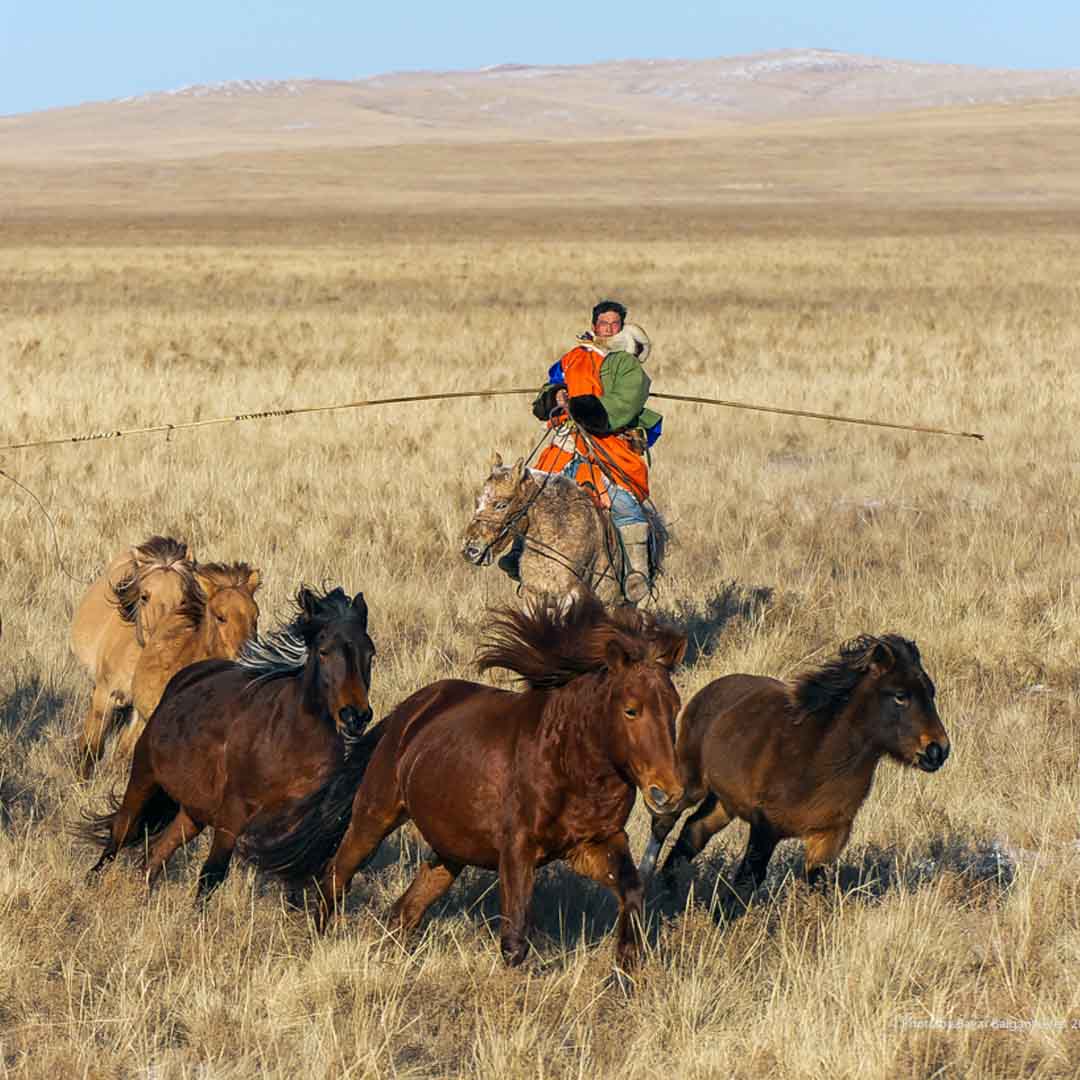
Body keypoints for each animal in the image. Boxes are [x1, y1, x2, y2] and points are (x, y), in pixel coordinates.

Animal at [70, 535, 197, 773]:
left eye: (183, 600)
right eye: (144, 596)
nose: (164, 641)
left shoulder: (145, 711)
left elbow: (124, 752)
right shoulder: (106, 694)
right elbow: (92, 746)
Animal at [81, 587, 375, 898]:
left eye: (370, 652)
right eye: (324, 651)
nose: (355, 716)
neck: (292, 738)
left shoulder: (292, 826)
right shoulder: (234, 812)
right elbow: (212, 874)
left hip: (193, 813)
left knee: (158, 851)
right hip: (144, 776)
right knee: (121, 830)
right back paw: (93, 881)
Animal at [244, 596, 682, 976]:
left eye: (675, 708)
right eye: (631, 710)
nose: (668, 793)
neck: (572, 760)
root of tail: (406, 713)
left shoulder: (593, 844)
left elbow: (632, 890)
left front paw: (624, 970)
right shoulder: (517, 850)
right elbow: (515, 939)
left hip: (449, 850)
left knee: (404, 911)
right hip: (374, 816)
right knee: (336, 876)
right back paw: (320, 941)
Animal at [635, 630, 950, 920]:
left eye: (931, 692)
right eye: (900, 696)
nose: (938, 750)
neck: (820, 759)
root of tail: (705, 692)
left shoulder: (828, 837)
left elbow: (816, 886)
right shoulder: (765, 826)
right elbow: (747, 878)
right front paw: (719, 924)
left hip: (724, 804)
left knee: (693, 832)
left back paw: (670, 890)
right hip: (688, 785)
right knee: (664, 823)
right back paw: (649, 885)